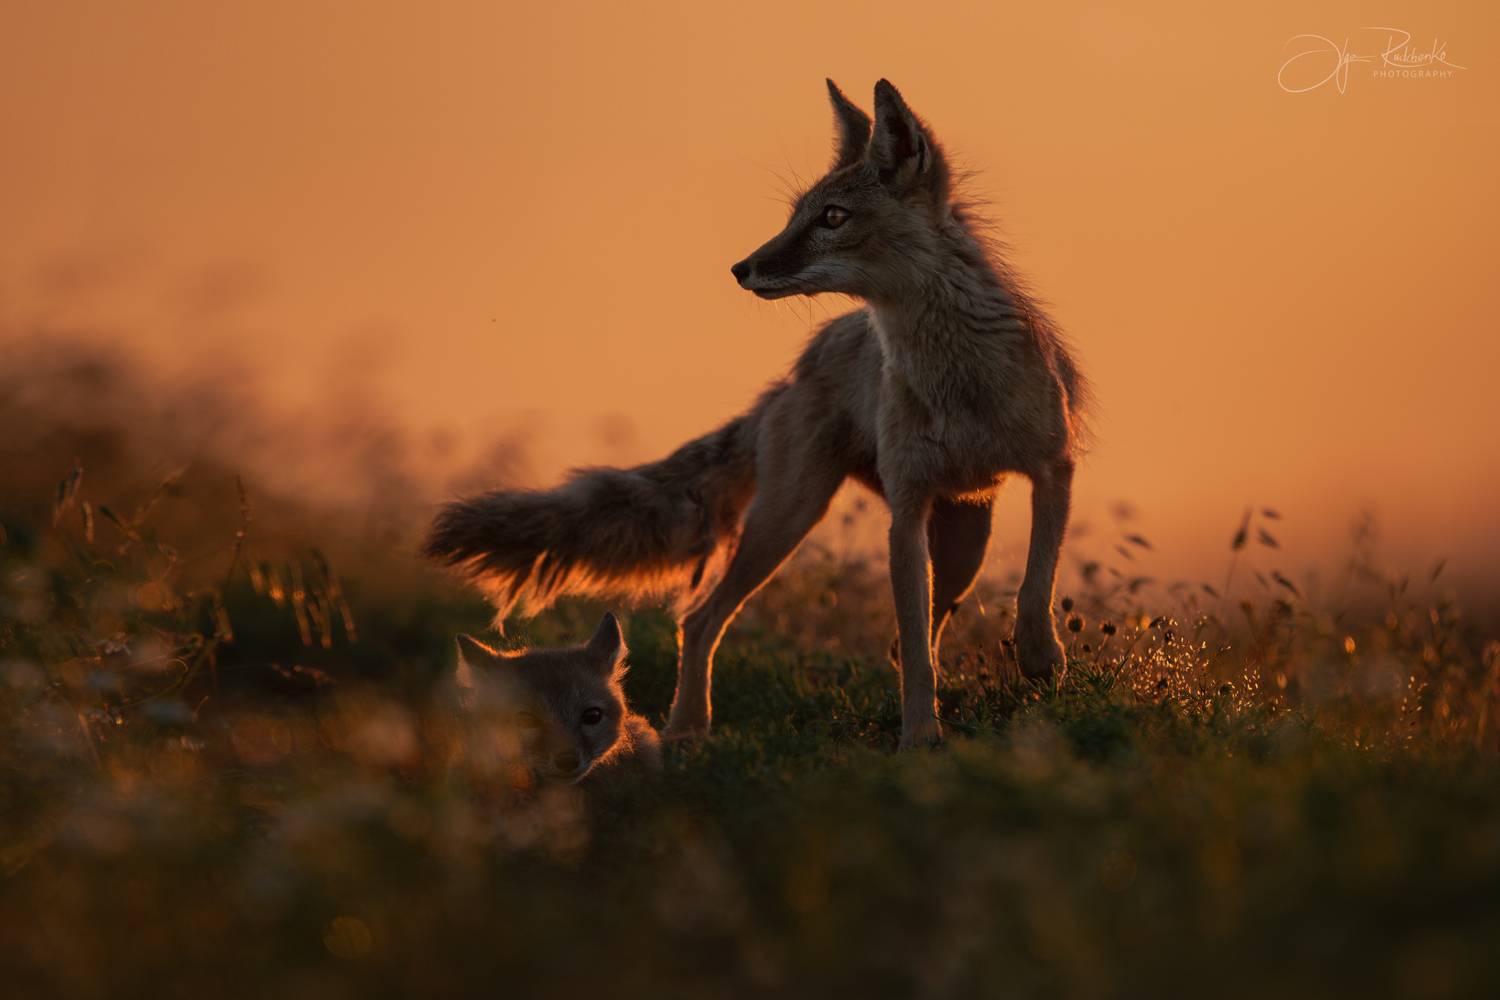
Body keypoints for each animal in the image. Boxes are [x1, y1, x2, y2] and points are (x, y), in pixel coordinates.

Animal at [426, 79, 1088, 750]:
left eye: (832, 217)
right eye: (794, 215)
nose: (741, 268)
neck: (962, 382)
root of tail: (790, 376)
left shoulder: (1052, 469)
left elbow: (1034, 586)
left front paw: (1040, 660)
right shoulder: (907, 510)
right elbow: (918, 649)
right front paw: (918, 738)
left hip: (960, 546)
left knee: (915, 631)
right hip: (791, 519)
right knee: (701, 618)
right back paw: (687, 730)